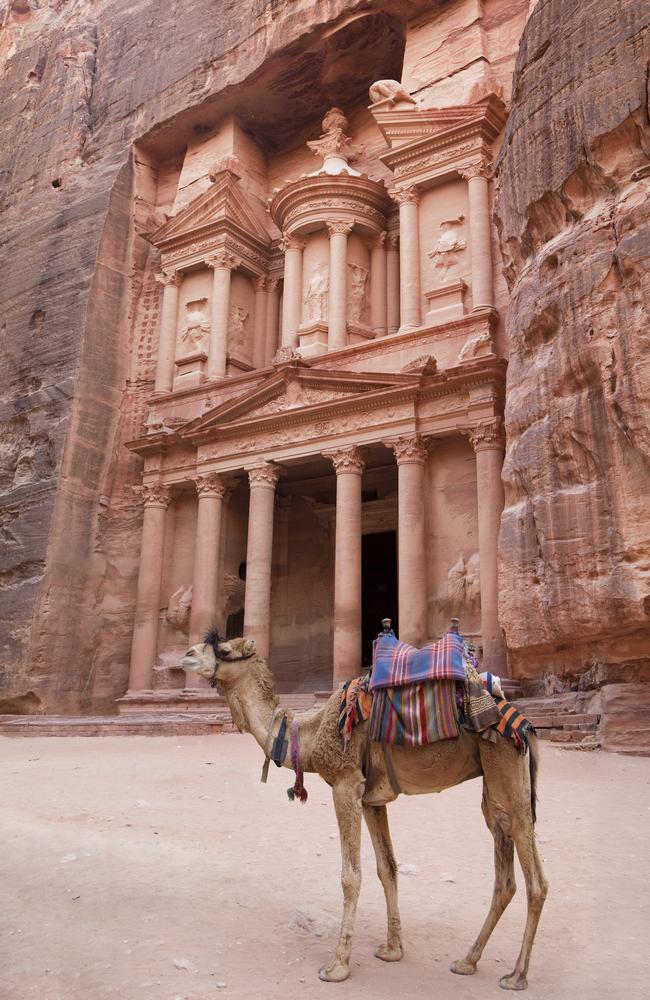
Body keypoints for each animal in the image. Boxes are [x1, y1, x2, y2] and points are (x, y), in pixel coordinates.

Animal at [180, 632, 544, 984]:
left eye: (224, 649)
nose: (186, 655)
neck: (311, 734)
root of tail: (523, 724)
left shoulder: (345, 783)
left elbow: (350, 876)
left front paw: (337, 965)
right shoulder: (372, 799)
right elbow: (388, 868)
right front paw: (392, 949)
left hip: (504, 765)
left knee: (535, 879)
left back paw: (517, 975)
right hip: (494, 786)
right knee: (504, 873)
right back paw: (468, 960)